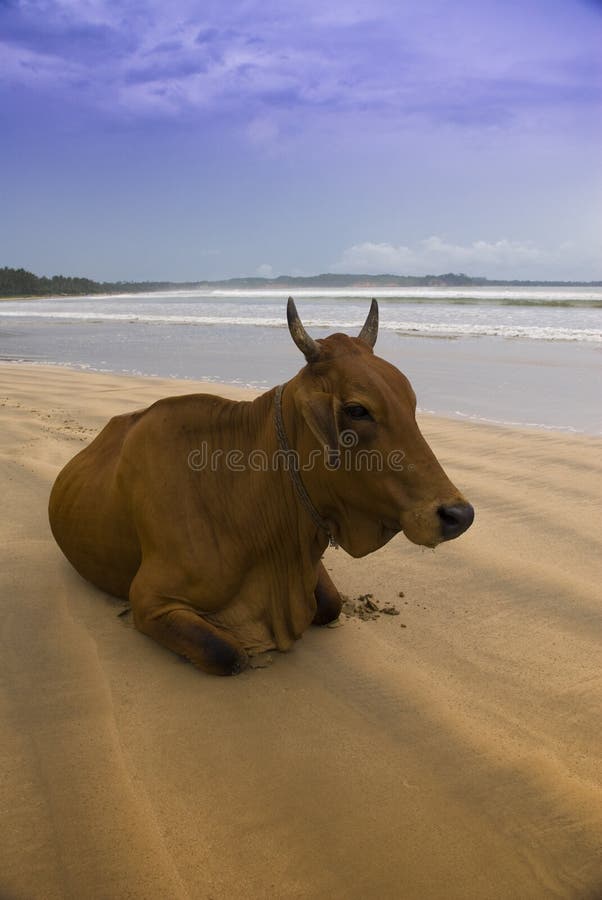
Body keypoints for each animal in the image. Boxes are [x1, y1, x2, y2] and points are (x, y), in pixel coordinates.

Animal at [49, 300, 474, 676]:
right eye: (357, 409)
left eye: (410, 402)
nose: (459, 514)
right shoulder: (149, 599)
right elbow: (228, 653)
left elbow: (331, 604)